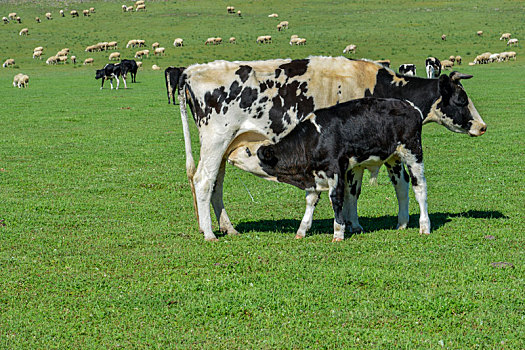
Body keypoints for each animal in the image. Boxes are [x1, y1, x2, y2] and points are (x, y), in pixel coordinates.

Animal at [225, 97, 466, 241]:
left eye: (248, 151)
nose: (229, 155)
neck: (314, 138)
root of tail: (409, 105)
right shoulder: (314, 175)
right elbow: (310, 201)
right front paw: (302, 230)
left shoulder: (336, 170)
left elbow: (337, 200)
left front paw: (338, 232)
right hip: (393, 158)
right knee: (402, 188)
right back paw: (402, 223)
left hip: (413, 152)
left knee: (419, 187)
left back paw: (424, 225)